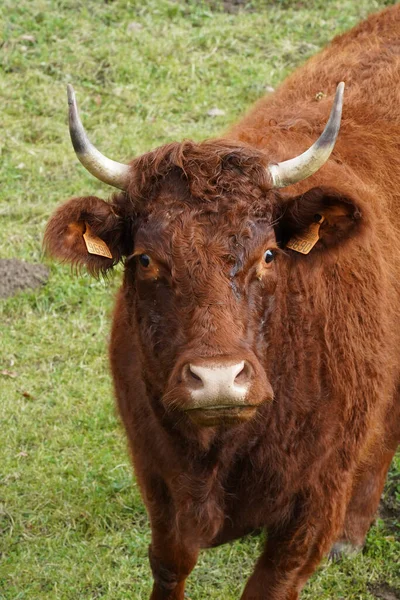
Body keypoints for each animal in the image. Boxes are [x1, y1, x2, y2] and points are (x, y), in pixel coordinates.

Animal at [44, 5, 400, 600]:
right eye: (145, 259)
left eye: (269, 254)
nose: (216, 379)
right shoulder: (159, 480)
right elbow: (170, 563)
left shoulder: (311, 508)